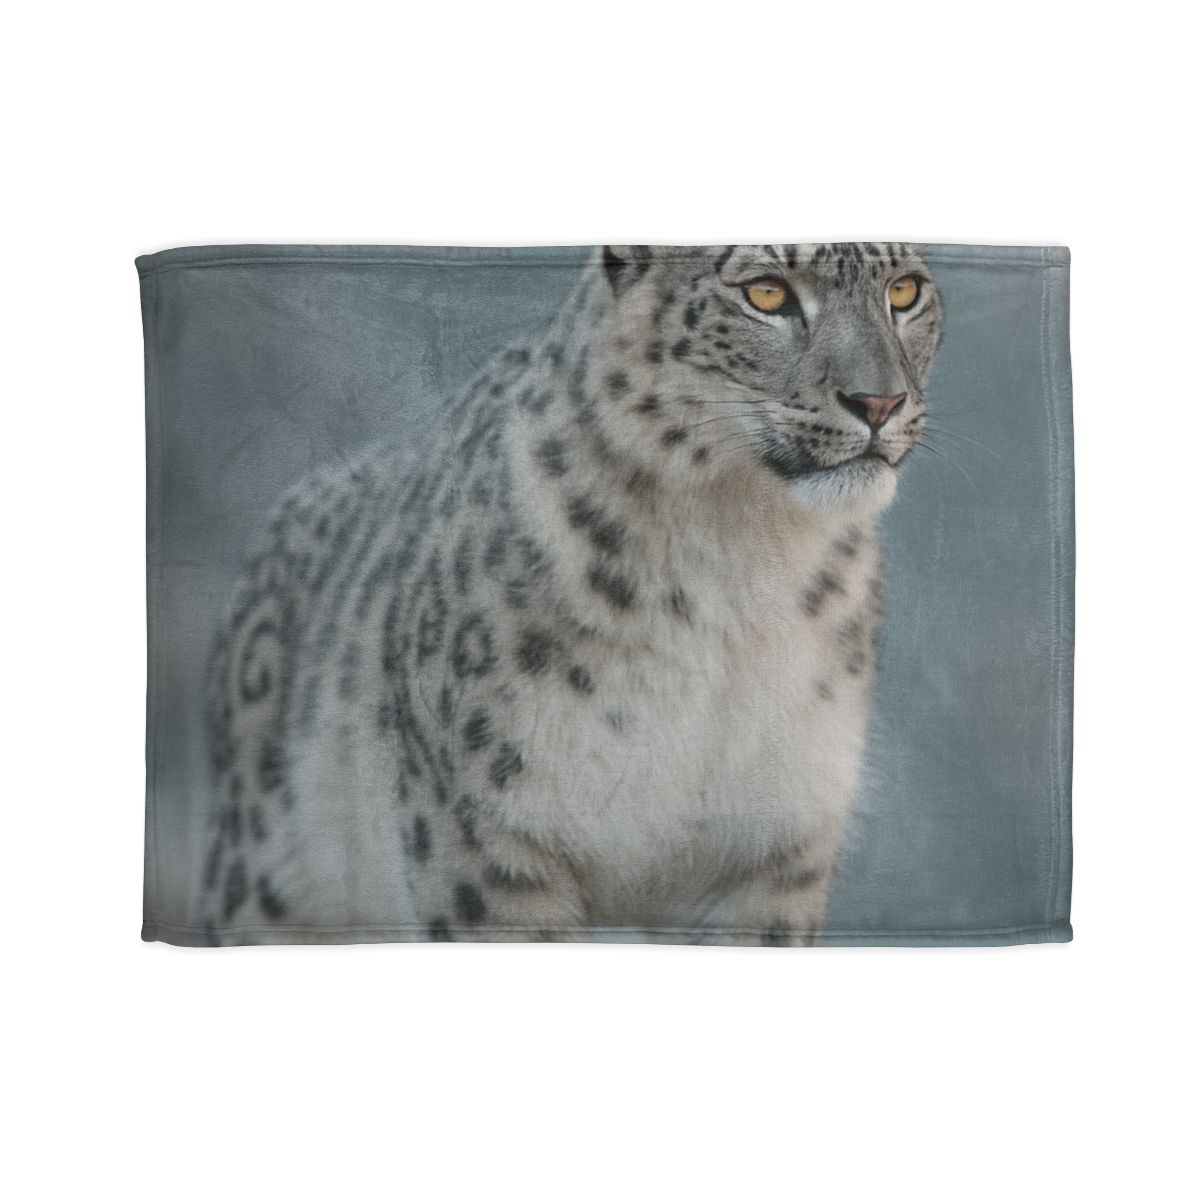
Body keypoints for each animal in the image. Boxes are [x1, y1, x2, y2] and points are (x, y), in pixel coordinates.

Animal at [200, 242, 944, 945]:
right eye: (766, 292)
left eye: (904, 289)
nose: (879, 403)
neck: (742, 565)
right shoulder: (491, 832)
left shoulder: (774, 844)